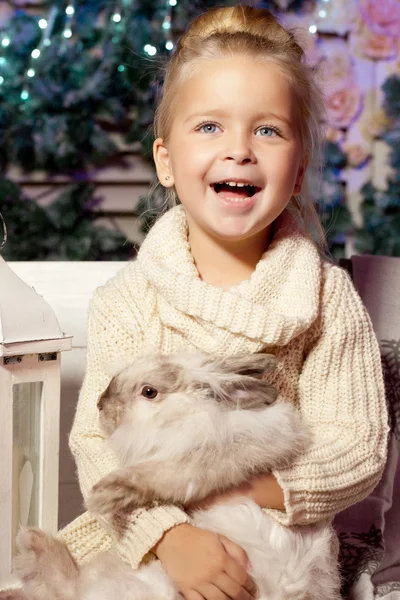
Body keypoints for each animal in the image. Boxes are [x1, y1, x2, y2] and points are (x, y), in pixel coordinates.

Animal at [10, 352, 340, 600]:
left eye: (149, 392)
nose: (101, 404)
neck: (186, 417)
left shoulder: (199, 462)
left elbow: (157, 474)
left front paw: (104, 494)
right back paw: (33, 541)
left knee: (68, 587)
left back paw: (32, 540)